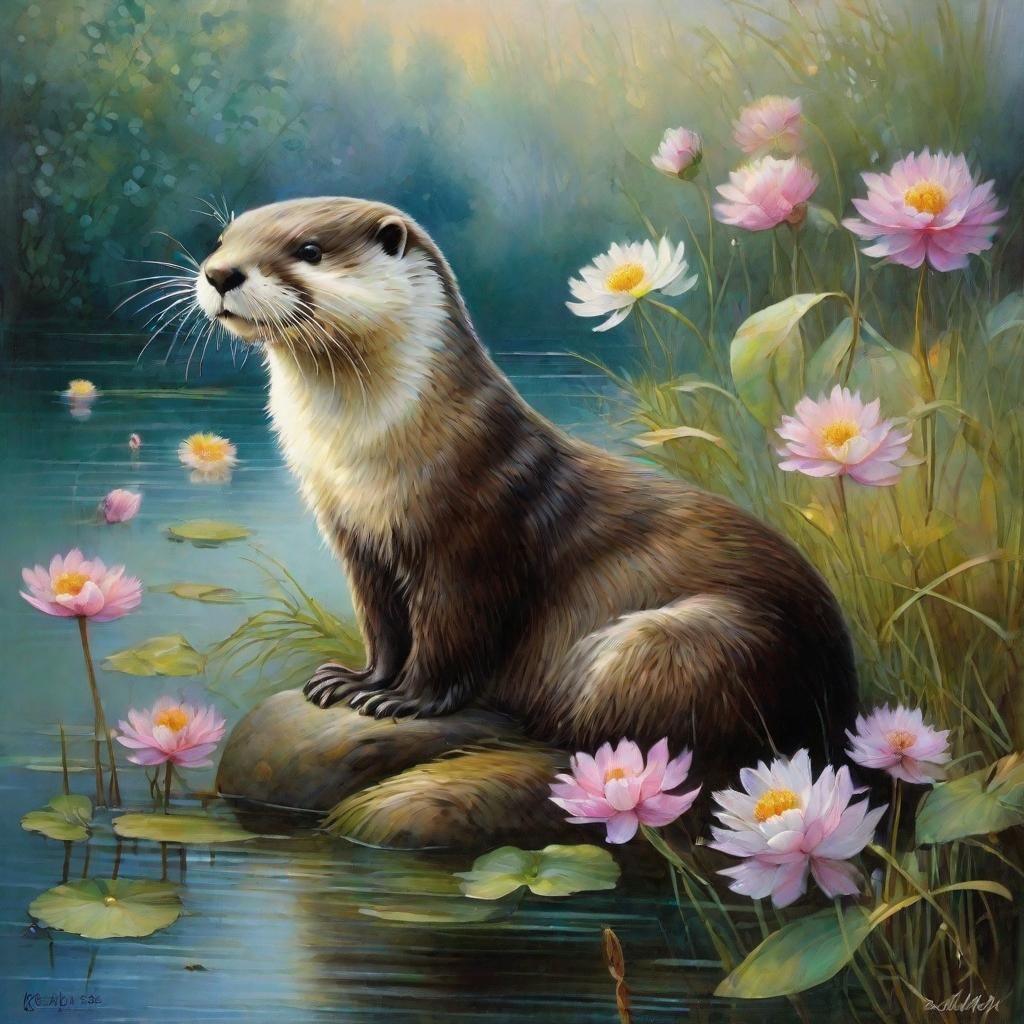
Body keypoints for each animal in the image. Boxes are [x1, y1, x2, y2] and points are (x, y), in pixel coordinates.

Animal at [195, 196, 857, 780]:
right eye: (222, 240)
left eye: (308, 249)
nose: (219, 273)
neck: (368, 461)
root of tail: (841, 701)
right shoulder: (357, 540)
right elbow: (382, 625)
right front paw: (356, 680)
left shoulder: (472, 532)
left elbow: (452, 635)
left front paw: (406, 701)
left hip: (691, 642)